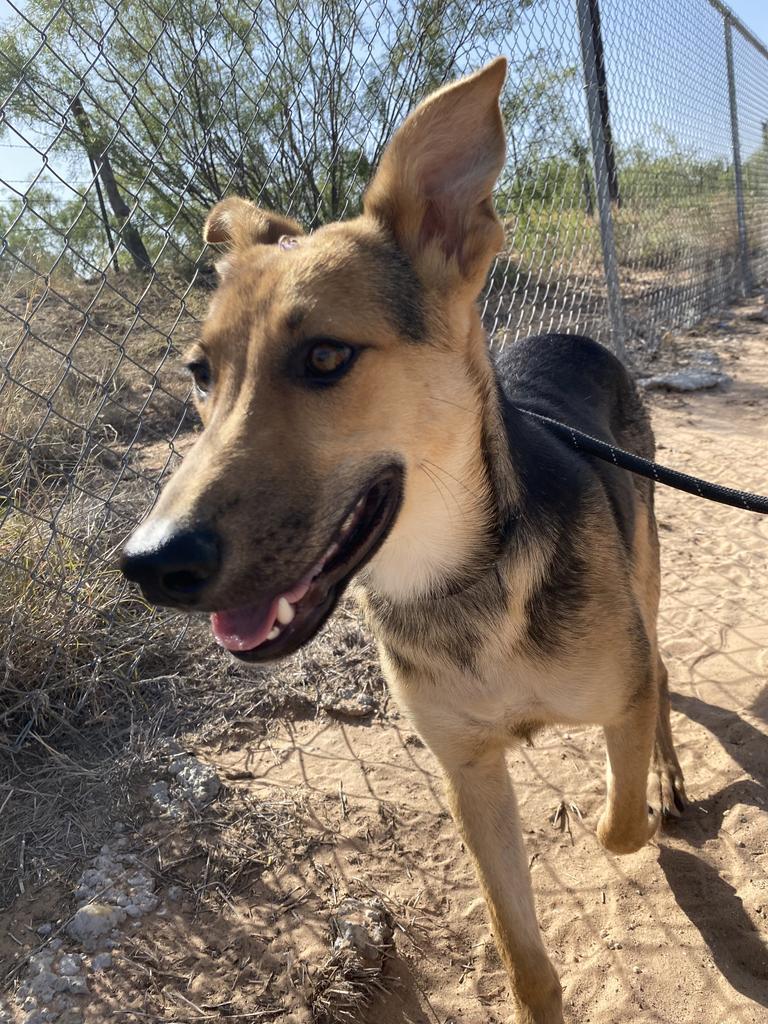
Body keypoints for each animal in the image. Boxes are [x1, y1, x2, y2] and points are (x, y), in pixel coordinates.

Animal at [121, 59, 692, 1019]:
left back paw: (669, 777)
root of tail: (572, 331)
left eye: (324, 357)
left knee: (660, 669)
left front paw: (631, 807)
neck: (464, 583)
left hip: (645, 572)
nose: (149, 563)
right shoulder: (469, 774)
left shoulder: (614, 694)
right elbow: (522, 954)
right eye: (200, 374)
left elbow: (618, 822)